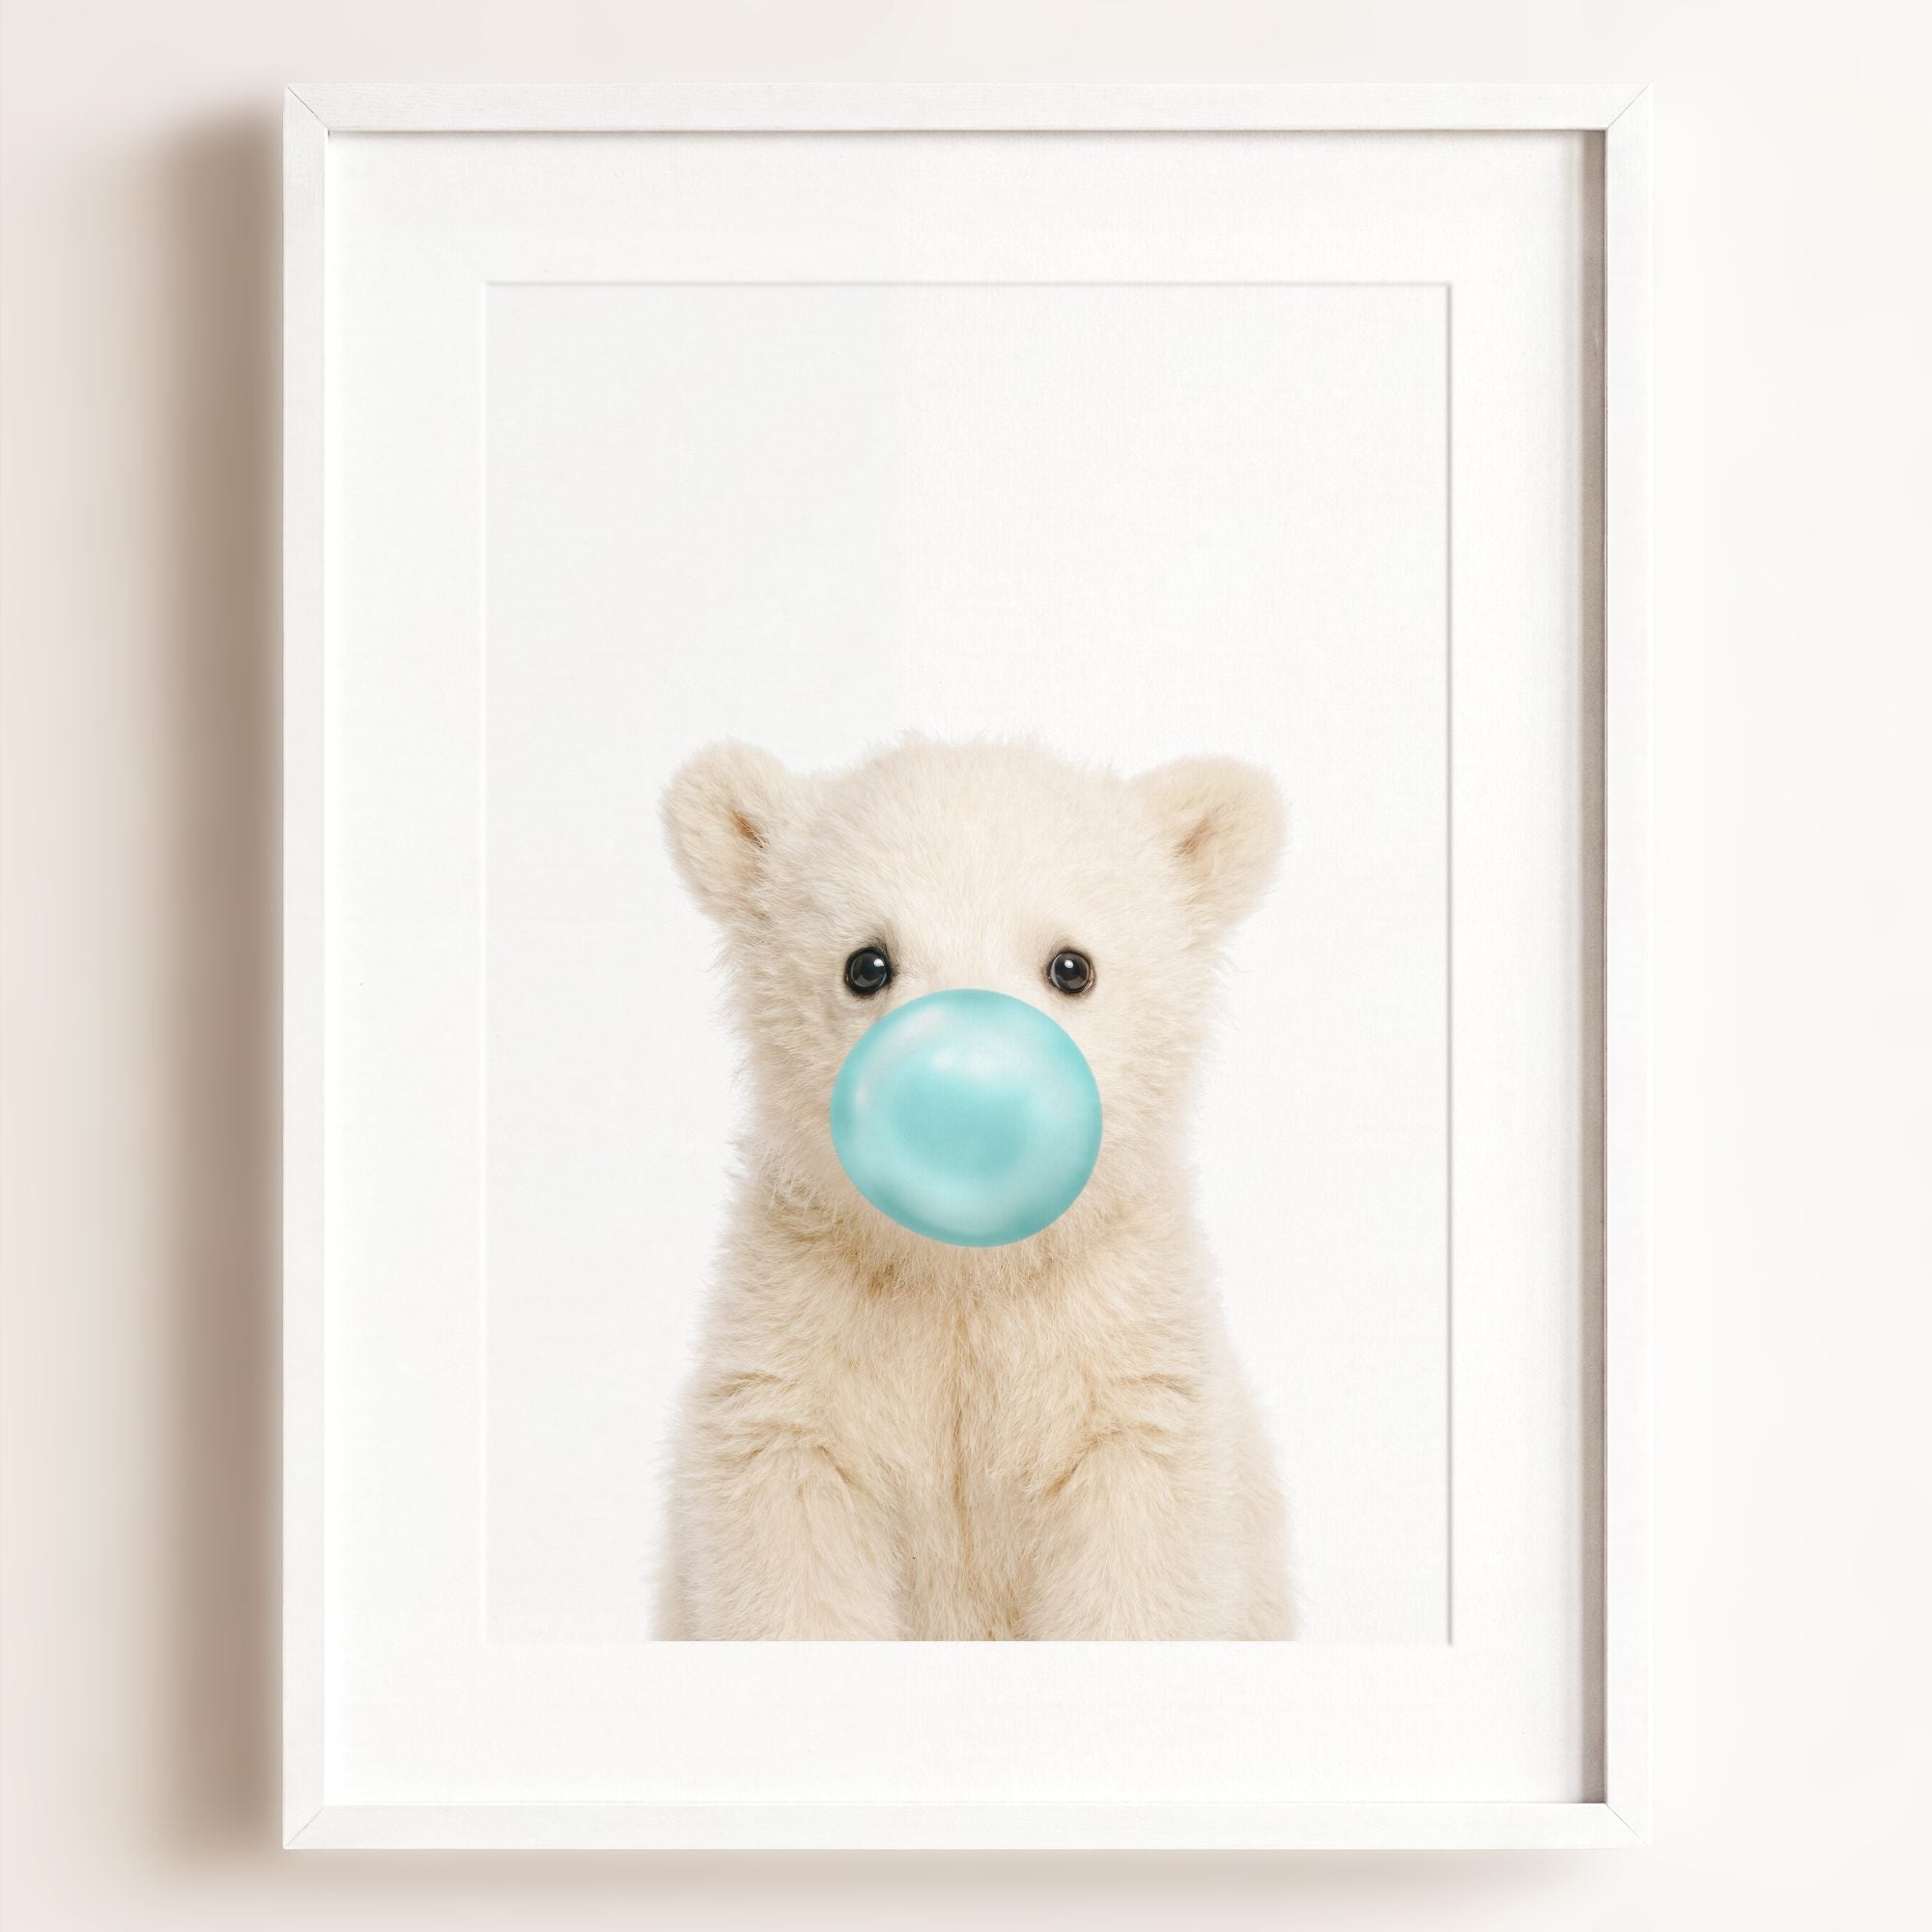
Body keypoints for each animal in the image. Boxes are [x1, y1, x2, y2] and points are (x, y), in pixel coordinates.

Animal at [654, 736, 1291, 1639]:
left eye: (1071, 966)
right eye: (866, 964)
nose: (963, 1103)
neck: (963, 1268)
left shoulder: (1122, 1363)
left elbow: (1136, 1564)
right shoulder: (800, 1351)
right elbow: (792, 1551)